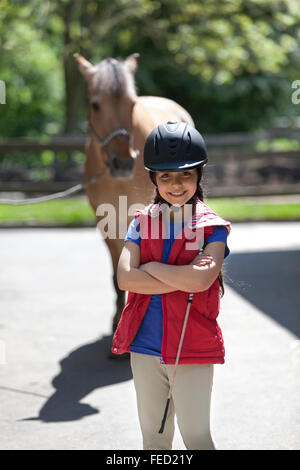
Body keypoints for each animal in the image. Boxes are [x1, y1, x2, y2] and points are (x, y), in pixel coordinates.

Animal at [75, 54, 195, 334]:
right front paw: (119, 320)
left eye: (132, 104)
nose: (122, 163)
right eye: (95, 105)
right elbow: (119, 272)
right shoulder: (106, 222)